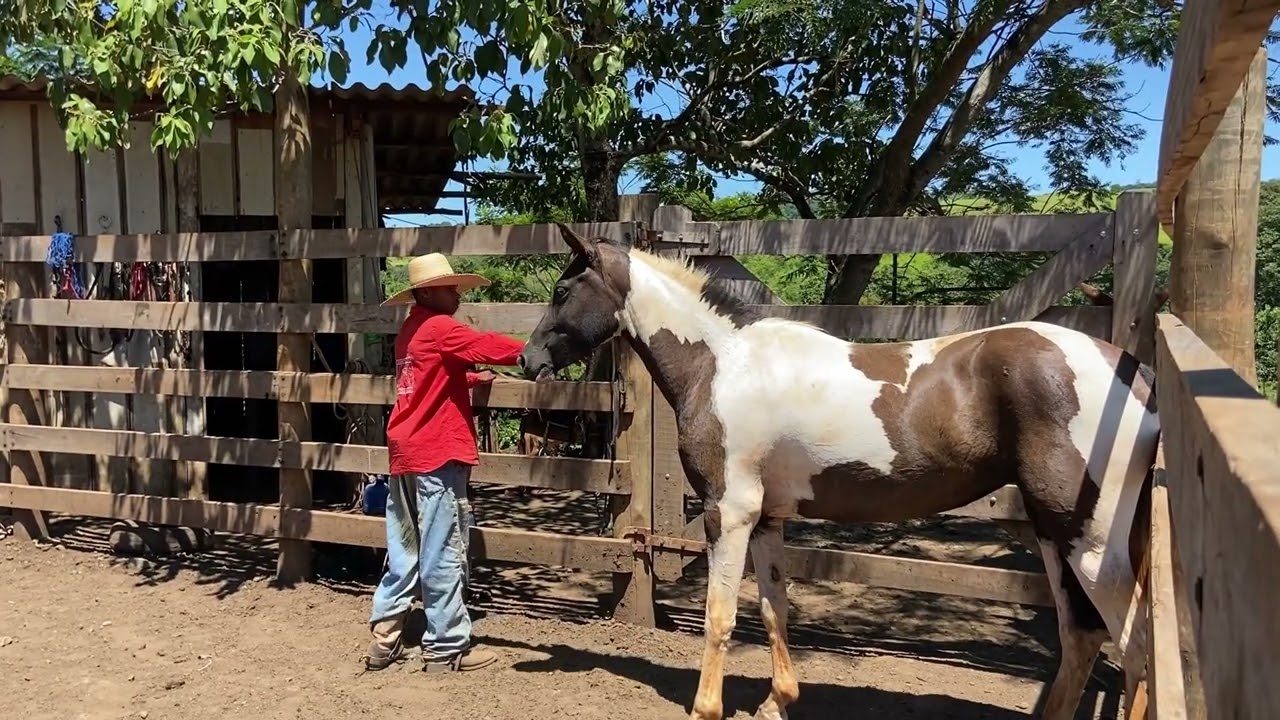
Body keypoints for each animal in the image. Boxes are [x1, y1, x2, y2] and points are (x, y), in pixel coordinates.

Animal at [516, 224, 1160, 720]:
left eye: (563, 289)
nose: (527, 360)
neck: (722, 365)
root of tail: (1136, 375)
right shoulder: (768, 518)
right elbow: (774, 609)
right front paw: (777, 702)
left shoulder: (730, 512)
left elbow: (720, 616)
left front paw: (707, 709)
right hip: (1056, 535)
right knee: (1082, 639)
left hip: (1091, 545)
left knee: (1137, 648)